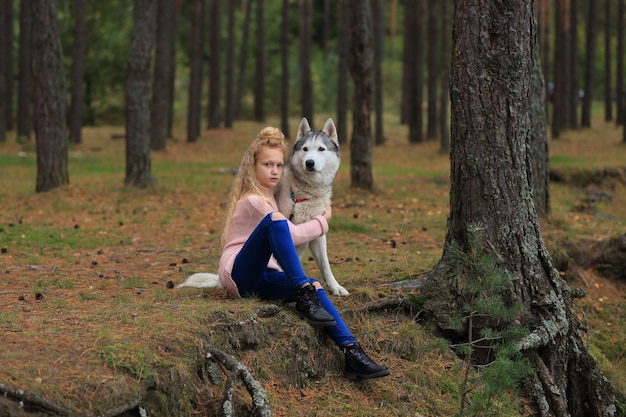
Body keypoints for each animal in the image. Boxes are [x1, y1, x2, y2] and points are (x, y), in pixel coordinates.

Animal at [178, 115, 348, 294]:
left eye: (321, 149)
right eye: (305, 149)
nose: (309, 162)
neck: (302, 194)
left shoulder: (317, 234)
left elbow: (325, 265)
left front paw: (335, 287)